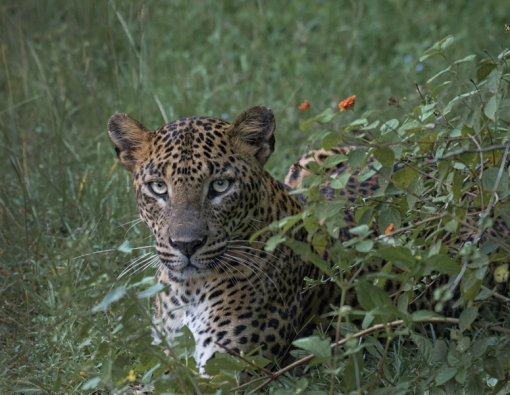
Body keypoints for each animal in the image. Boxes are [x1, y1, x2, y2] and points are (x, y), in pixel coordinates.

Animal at [108, 104, 510, 374]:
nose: (186, 245)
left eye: (220, 185)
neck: (189, 290)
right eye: (158, 187)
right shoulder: (164, 358)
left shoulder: (226, 369)